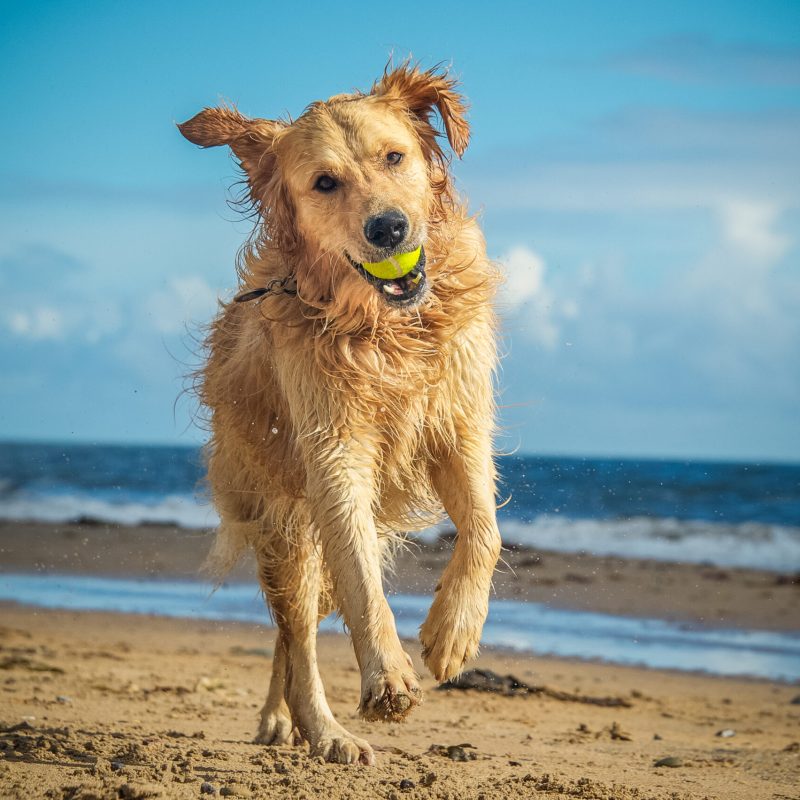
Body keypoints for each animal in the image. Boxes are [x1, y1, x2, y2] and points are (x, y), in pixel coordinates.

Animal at [180, 62, 500, 764]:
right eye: (325, 183)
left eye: (394, 157)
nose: (389, 228)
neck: (385, 325)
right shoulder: (333, 450)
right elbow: (360, 579)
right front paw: (388, 676)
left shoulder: (458, 422)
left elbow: (484, 531)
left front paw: (452, 634)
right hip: (285, 521)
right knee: (297, 631)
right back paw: (322, 730)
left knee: (290, 632)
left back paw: (287, 720)